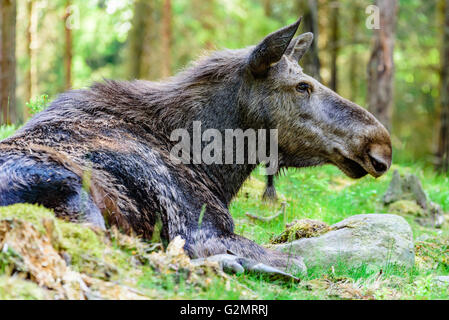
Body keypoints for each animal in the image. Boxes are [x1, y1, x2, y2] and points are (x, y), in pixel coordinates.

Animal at [0, 18, 388, 274]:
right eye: (302, 86)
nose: (380, 145)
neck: (214, 168)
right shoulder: (199, 229)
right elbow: (298, 262)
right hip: (74, 194)